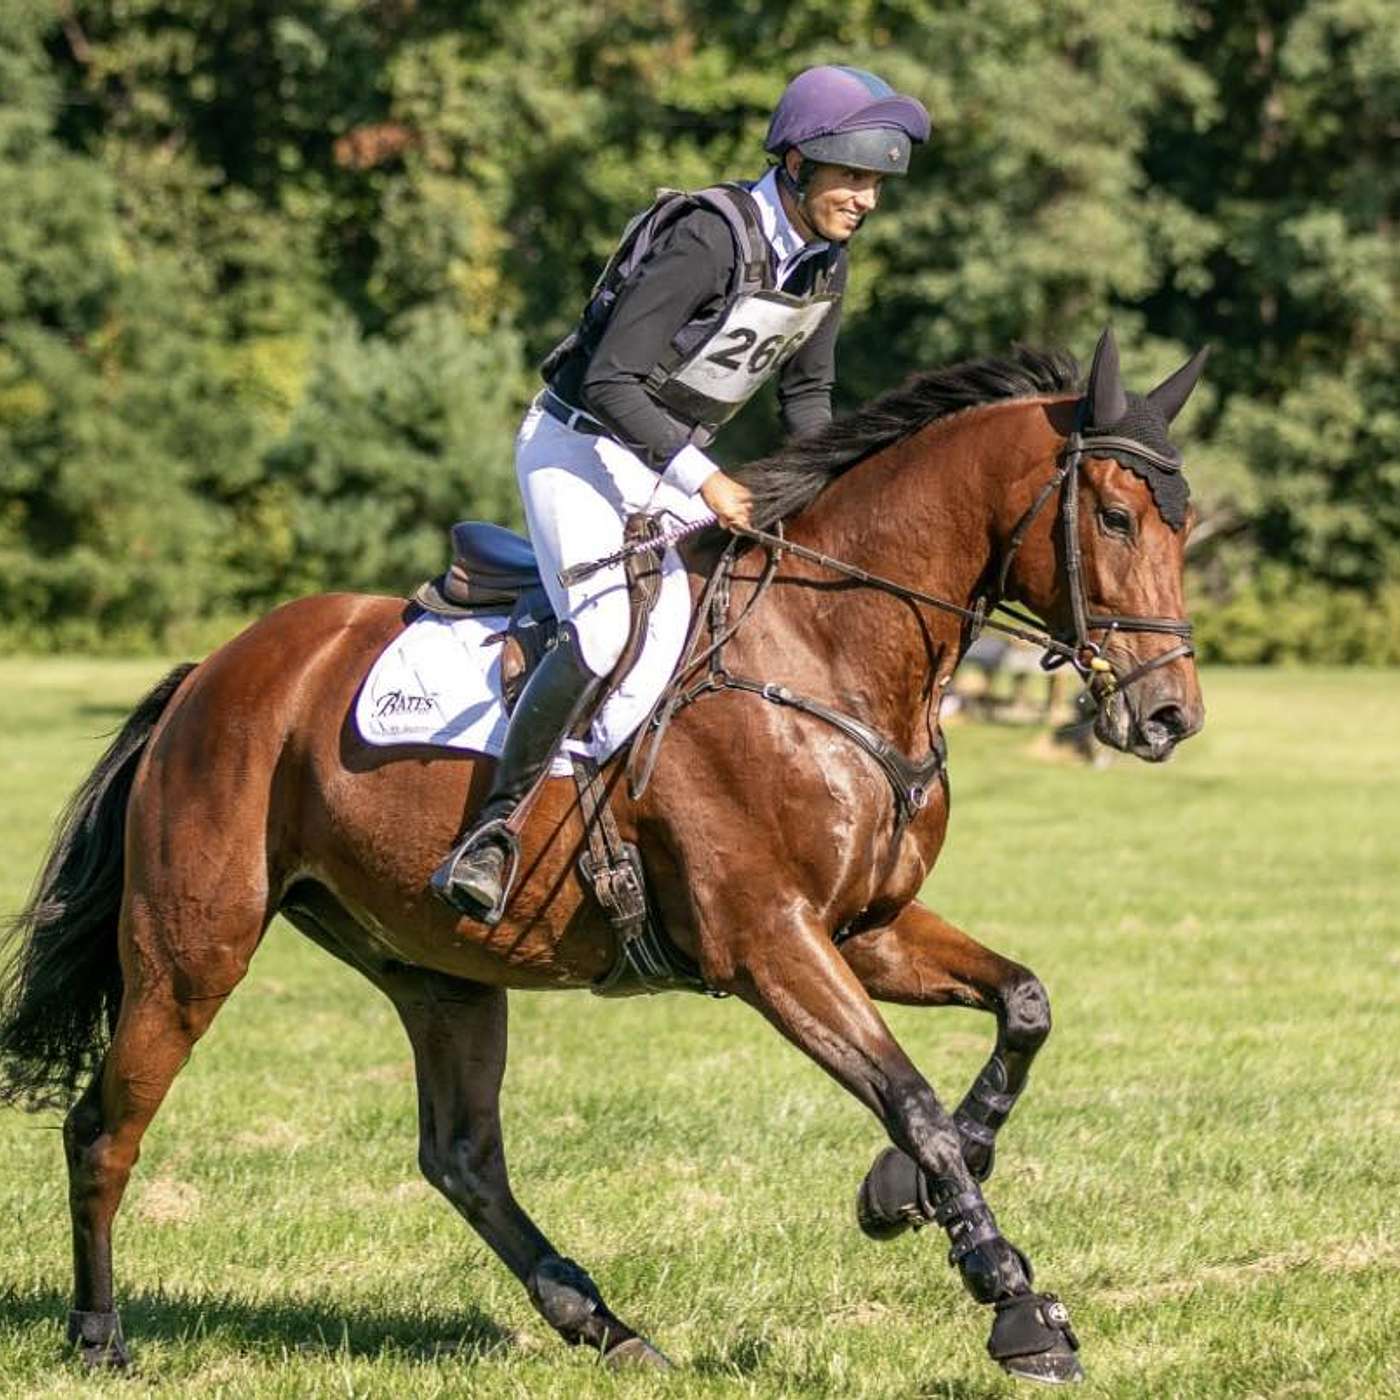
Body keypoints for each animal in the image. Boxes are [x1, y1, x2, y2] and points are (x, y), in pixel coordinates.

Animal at [0, 330, 1204, 1388]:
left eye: (1181, 525)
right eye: (1112, 515)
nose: (1169, 716)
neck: (826, 651)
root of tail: (212, 672)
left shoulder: (864, 928)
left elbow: (1023, 1007)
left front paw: (897, 1189)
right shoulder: (769, 941)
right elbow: (905, 1094)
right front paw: (1014, 1303)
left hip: (436, 968)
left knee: (462, 1156)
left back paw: (604, 1325)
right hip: (192, 948)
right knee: (105, 1127)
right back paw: (100, 1338)